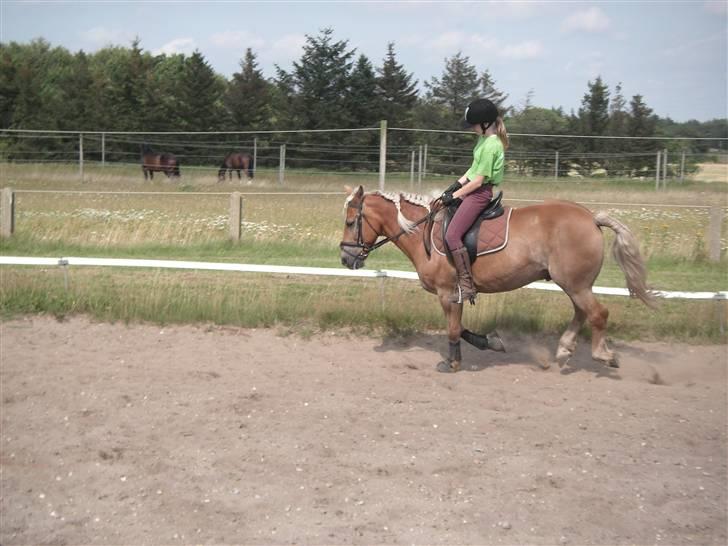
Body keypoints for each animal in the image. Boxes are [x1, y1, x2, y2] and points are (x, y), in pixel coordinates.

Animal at [342, 185, 656, 372]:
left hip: (576, 284)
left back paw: (604, 355)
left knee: (598, 314)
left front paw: (452, 363)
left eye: (350, 221)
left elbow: (453, 329)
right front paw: (491, 342)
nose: (345, 259)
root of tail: (590, 217)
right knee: (582, 313)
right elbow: (461, 328)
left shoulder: (447, 293)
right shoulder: (456, 295)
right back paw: (565, 350)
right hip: (573, 283)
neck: (422, 233)